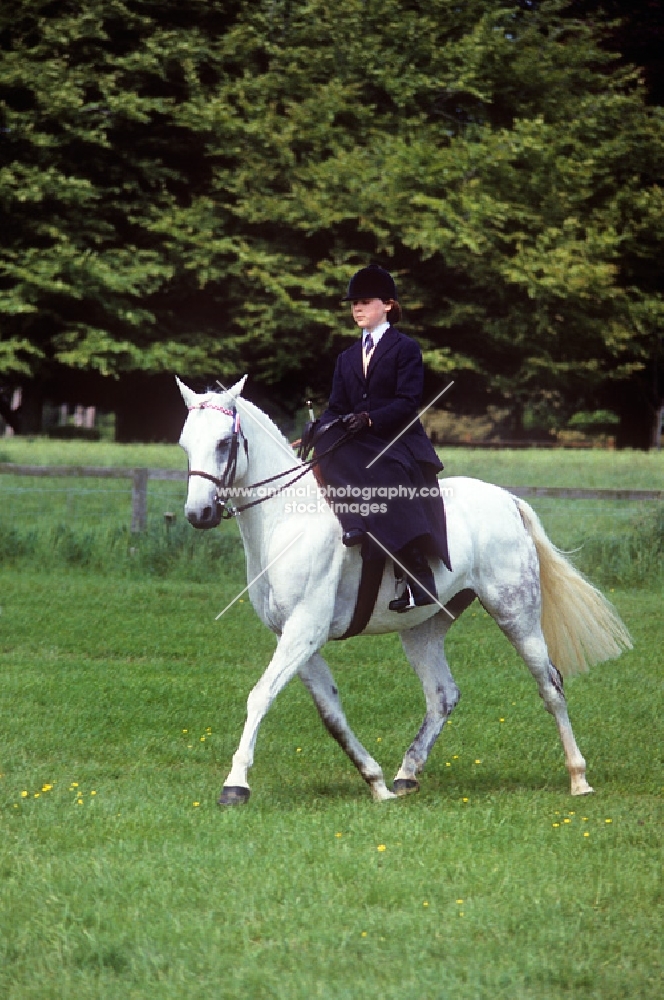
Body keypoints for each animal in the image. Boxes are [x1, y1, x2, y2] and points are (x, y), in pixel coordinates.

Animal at [176, 376, 632, 804]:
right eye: (185, 444)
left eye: (223, 442)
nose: (199, 514)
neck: (287, 519)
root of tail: (506, 500)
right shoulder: (293, 637)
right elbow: (331, 714)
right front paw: (376, 784)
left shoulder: (303, 631)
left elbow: (260, 696)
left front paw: (235, 784)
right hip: (423, 627)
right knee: (443, 695)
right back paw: (406, 774)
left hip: (515, 613)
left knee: (550, 685)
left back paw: (578, 778)